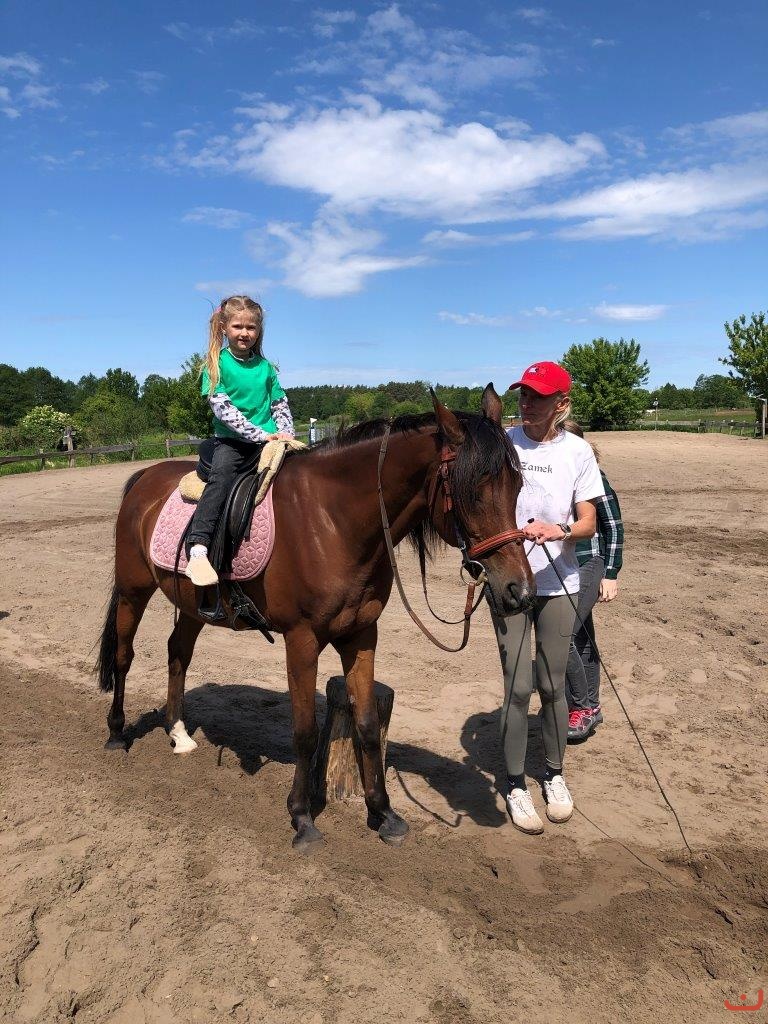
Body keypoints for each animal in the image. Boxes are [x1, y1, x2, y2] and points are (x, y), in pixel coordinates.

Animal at [96, 386, 535, 850]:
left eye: (518, 485)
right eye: (473, 489)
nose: (519, 591)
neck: (334, 521)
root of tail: (145, 477)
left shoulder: (361, 635)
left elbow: (366, 724)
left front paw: (383, 813)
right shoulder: (301, 640)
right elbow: (304, 732)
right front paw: (302, 817)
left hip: (194, 604)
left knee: (177, 651)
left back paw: (178, 733)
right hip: (133, 592)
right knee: (123, 656)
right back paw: (117, 733)